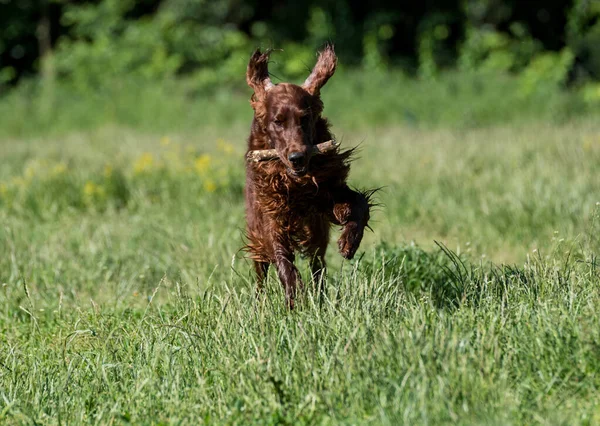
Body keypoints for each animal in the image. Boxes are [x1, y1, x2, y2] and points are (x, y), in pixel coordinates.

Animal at [243, 44, 370, 310]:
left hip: (316, 232)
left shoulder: (328, 192)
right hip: (255, 229)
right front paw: (293, 292)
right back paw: (260, 303)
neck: (296, 183)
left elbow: (360, 204)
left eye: (305, 118)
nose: (297, 157)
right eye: (278, 121)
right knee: (260, 272)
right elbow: (281, 256)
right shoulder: (271, 213)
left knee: (317, 264)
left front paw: (350, 241)